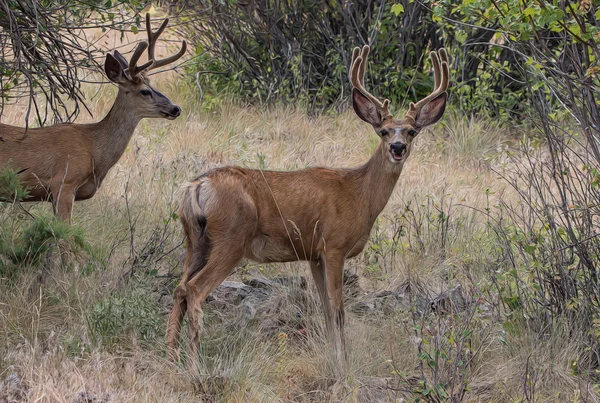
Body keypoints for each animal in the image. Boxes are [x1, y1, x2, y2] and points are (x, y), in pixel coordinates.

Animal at [166, 45, 448, 372]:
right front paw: (344, 363)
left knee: (179, 288)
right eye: (384, 131)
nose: (398, 148)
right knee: (195, 289)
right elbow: (338, 309)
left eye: (412, 131)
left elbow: (325, 309)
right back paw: (194, 364)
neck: (359, 195)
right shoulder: (334, 245)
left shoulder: (313, 254)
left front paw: (332, 356)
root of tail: (197, 186)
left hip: (195, 241)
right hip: (231, 238)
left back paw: (170, 355)